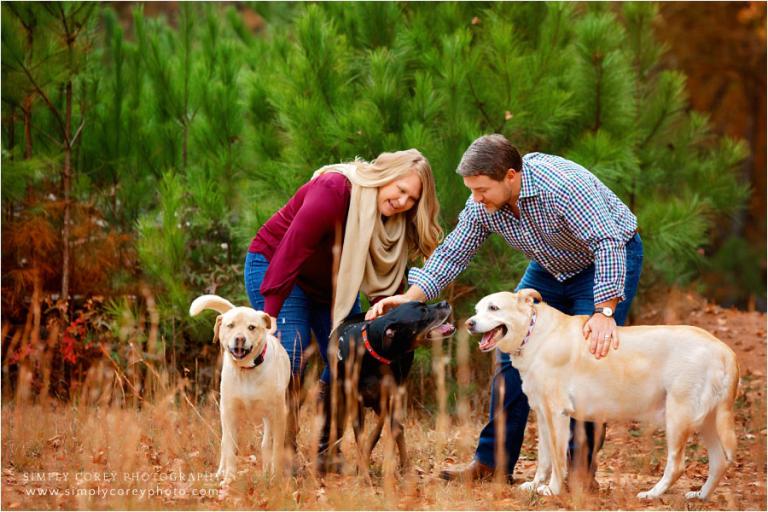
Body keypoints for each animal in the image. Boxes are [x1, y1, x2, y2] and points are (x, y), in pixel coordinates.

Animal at [190, 296, 292, 484]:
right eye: (230, 325)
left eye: (251, 327)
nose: (239, 338)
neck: (247, 370)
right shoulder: (229, 413)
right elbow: (230, 448)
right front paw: (229, 478)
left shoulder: (279, 414)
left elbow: (276, 448)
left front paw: (276, 479)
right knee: (224, 443)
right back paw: (220, 473)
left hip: (268, 419)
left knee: (266, 444)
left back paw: (267, 473)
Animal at [316, 302, 452, 474]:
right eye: (423, 311)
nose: (445, 303)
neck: (372, 354)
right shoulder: (356, 403)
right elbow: (361, 438)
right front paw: (363, 470)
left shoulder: (386, 399)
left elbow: (376, 434)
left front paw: (367, 461)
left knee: (398, 428)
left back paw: (405, 465)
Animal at [468, 288, 736, 500]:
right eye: (477, 309)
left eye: (493, 308)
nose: (469, 323)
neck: (533, 334)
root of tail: (723, 348)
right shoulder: (543, 415)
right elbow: (544, 458)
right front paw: (535, 485)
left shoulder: (556, 414)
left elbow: (557, 459)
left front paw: (552, 490)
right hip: (705, 421)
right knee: (719, 462)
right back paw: (701, 496)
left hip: (678, 417)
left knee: (677, 465)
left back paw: (652, 494)